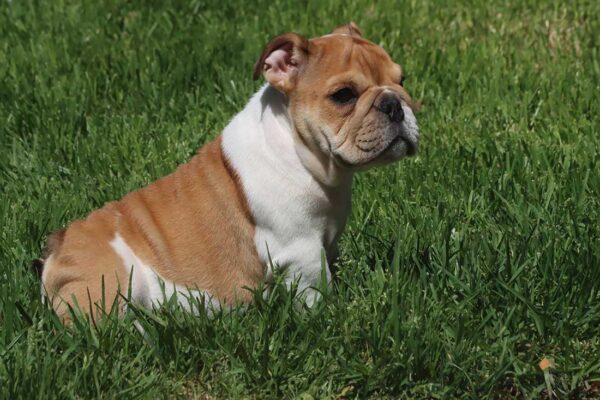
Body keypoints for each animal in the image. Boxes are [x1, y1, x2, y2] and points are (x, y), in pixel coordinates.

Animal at [37, 21, 420, 324]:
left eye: (402, 80)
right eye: (344, 95)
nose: (394, 103)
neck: (299, 148)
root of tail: (58, 245)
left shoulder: (327, 241)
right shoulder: (303, 252)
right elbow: (316, 293)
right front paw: (326, 319)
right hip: (112, 284)